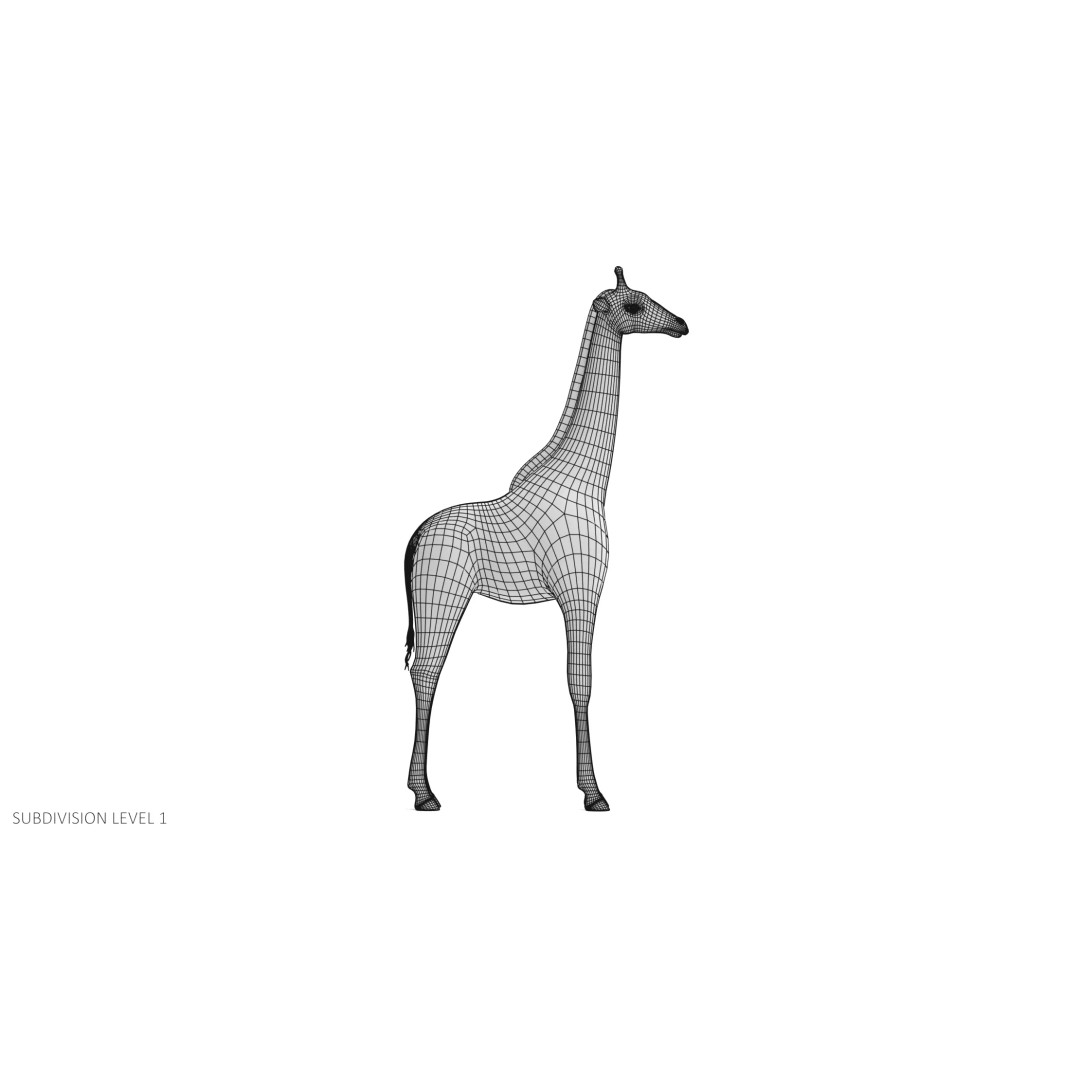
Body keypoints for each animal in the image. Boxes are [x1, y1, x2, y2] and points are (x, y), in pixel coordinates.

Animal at [403, 267, 689, 810]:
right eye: (634, 306)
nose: (682, 325)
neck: (584, 479)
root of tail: (415, 536)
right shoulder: (582, 591)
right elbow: (582, 684)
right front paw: (594, 793)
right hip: (441, 598)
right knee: (426, 674)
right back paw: (425, 794)